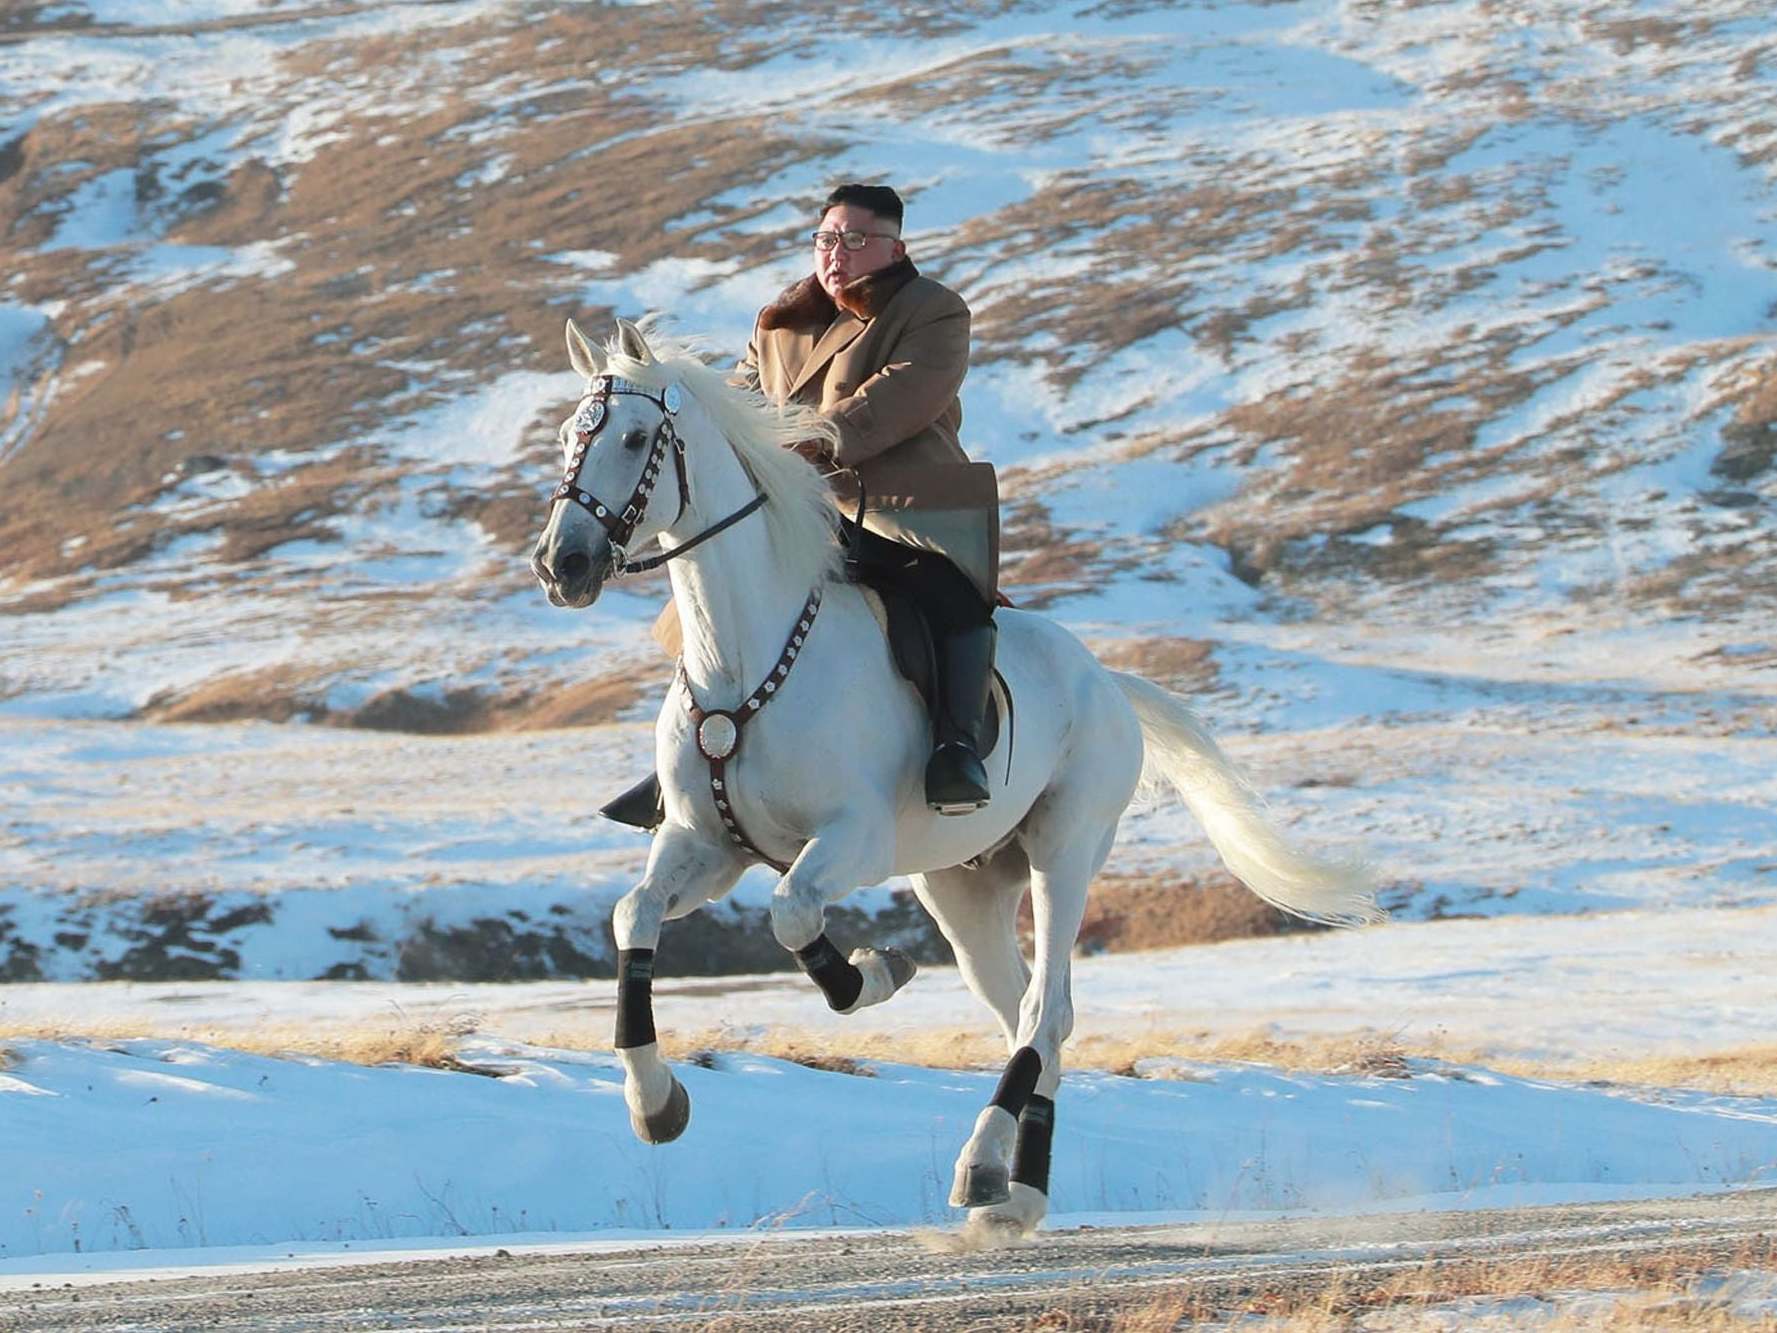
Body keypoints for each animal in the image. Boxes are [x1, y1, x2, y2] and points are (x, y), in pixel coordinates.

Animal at [533, 318, 1378, 1237]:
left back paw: (981, 1166)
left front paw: (872, 973)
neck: (744, 659)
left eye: (635, 437)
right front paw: (655, 1101)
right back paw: (1017, 1191)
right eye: (569, 436)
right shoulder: (705, 845)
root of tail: (1107, 680)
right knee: (1033, 1019)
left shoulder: (852, 839)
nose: (562, 564)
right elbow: (634, 915)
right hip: (962, 889)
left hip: (1063, 850)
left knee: (1044, 1010)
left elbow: (792, 913)